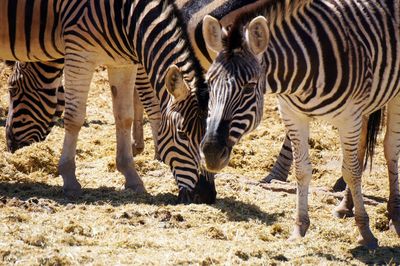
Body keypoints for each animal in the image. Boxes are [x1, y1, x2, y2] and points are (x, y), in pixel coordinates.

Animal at [0, 0, 216, 204]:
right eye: (182, 134)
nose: (207, 195)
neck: (126, 15)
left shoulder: (122, 62)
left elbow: (124, 117)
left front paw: (132, 178)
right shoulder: (79, 53)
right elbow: (74, 117)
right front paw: (70, 180)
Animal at [202, 0, 400, 249]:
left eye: (249, 87)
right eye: (209, 83)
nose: (210, 153)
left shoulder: (348, 117)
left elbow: (352, 171)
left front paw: (366, 232)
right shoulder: (292, 115)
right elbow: (302, 170)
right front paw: (300, 227)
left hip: (393, 95)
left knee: (390, 148)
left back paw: (394, 215)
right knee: (362, 146)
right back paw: (346, 206)